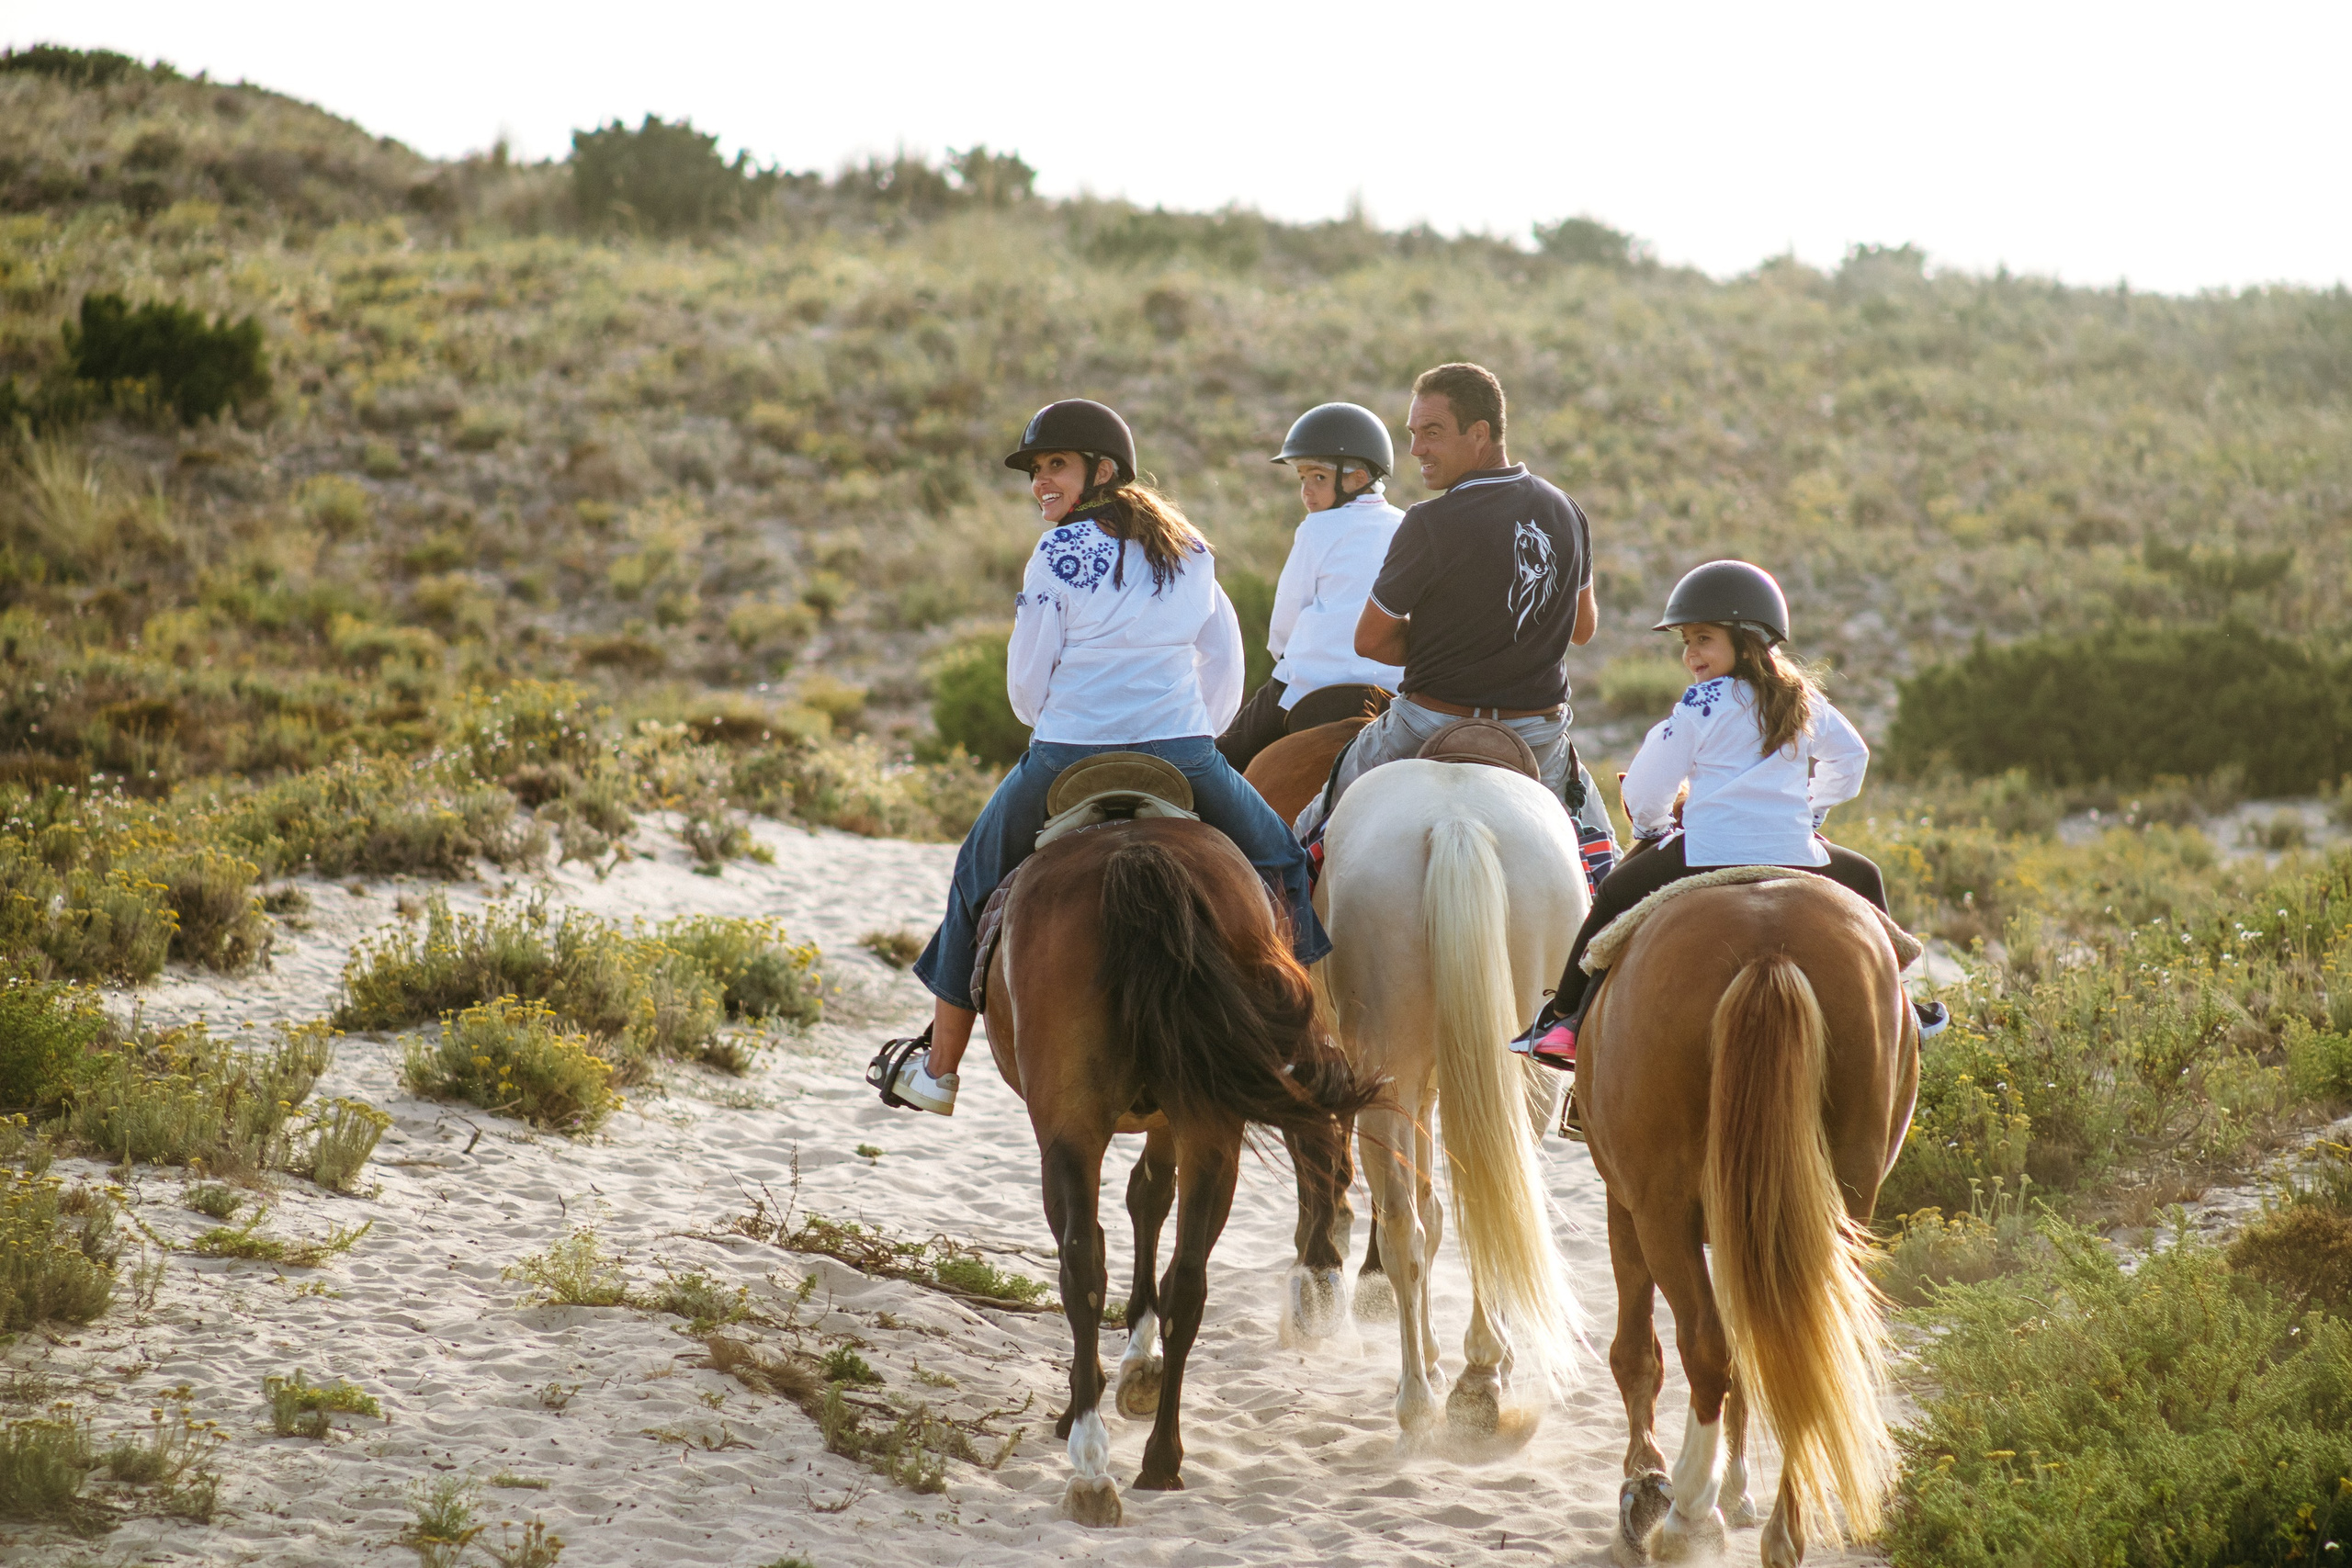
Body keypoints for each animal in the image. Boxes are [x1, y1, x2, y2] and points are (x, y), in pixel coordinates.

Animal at [980, 814, 1377, 1525]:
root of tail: (1136, 855)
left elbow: (1126, 1211)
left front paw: (1112, 1376)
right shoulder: (1172, 1116)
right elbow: (1150, 1198)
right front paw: (1141, 1362)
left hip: (1072, 1124)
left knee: (1082, 1266)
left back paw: (1089, 1461)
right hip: (1209, 1125)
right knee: (1188, 1281)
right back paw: (1161, 1459)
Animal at [1310, 757, 1590, 1437]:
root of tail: (1456, 822)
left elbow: (1425, 1218)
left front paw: (1434, 1364)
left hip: (1390, 1080)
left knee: (1409, 1227)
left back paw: (1422, 1394)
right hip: (1521, 1081)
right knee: (1493, 1204)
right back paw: (1476, 1378)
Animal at [1580, 874, 1919, 1566]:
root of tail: (1769, 950)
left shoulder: (1624, 1201)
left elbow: (1638, 1351)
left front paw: (1645, 1483)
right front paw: (1734, 1490)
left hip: (1661, 1209)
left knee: (1706, 1345)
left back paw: (1685, 1515)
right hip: (1837, 1203)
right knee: (1806, 1346)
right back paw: (1783, 1530)